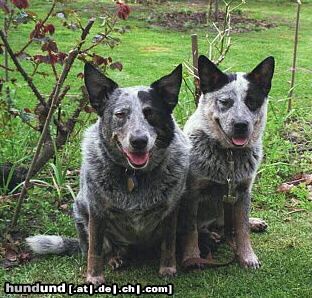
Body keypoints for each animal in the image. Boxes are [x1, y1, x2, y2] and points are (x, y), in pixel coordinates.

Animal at [26, 62, 190, 284]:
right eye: (120, 114)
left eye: (150, 113)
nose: (139, 141)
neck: (133, 176)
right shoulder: (96, 210)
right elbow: (95, 250)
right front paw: (94, 277)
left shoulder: (171, 210)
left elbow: (168, 243)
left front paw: (168, 268)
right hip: (80, 210)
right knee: (98, 248)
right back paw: (114, 258)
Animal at [182, 55, 274, 270]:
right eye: (225, 102)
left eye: (252, 101)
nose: (241, 125)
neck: (230, 157)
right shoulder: (192, 193)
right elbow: (191, 230)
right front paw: (192, 257)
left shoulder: (242, 191)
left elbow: (242, 229)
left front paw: (247, 256)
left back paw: (252, 222)